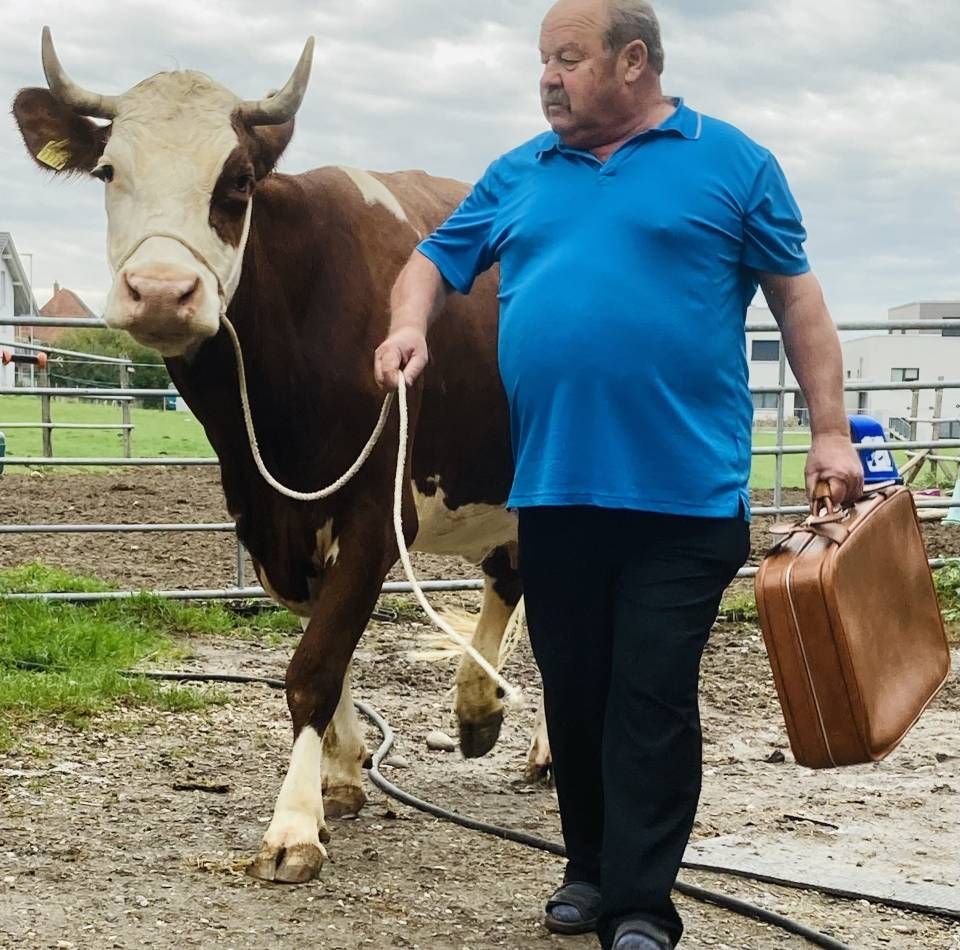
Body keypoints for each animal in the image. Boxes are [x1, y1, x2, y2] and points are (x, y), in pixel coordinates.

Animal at [13, 30, 551, 884]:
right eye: (107, 171)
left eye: (236, 180)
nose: (161, 291)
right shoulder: (268, 520)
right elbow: (327, 652)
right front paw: (344, 772)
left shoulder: (375, 511)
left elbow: (314, 666)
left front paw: (293, 825)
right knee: (512, 577)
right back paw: (478, 704)